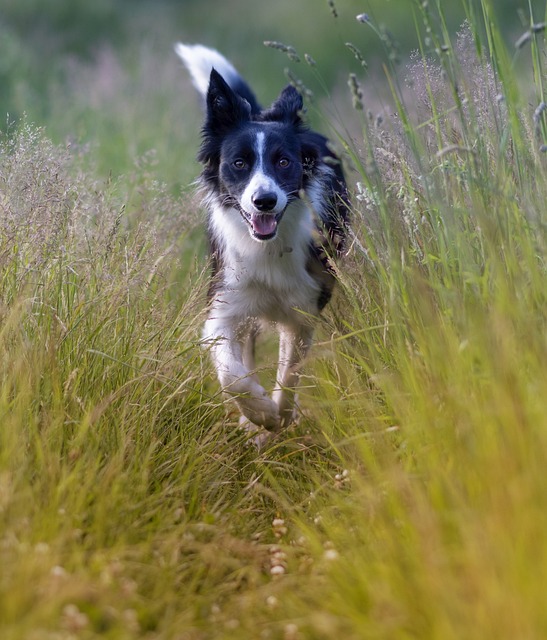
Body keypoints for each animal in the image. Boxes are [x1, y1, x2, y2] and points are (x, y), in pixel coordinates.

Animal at [177, 43, 352, 436]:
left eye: (284, 162)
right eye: (239, 163)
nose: (265, 201)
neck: (267, 247)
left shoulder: (304, 308)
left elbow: (289, 373)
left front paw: (280, 416)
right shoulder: (225, 302)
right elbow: (233, 374)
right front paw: (258, 414)